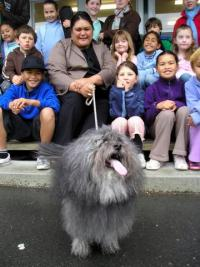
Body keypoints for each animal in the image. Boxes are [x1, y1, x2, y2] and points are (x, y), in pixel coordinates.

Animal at [40, 129, 144, 258]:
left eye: (119, 140)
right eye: (104, 141)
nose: (118, 146)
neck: (106, 181)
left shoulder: (113, 214)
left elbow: (109, 231)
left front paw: (109, 245)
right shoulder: (78, 212)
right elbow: (79, 231)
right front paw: (80, 248)